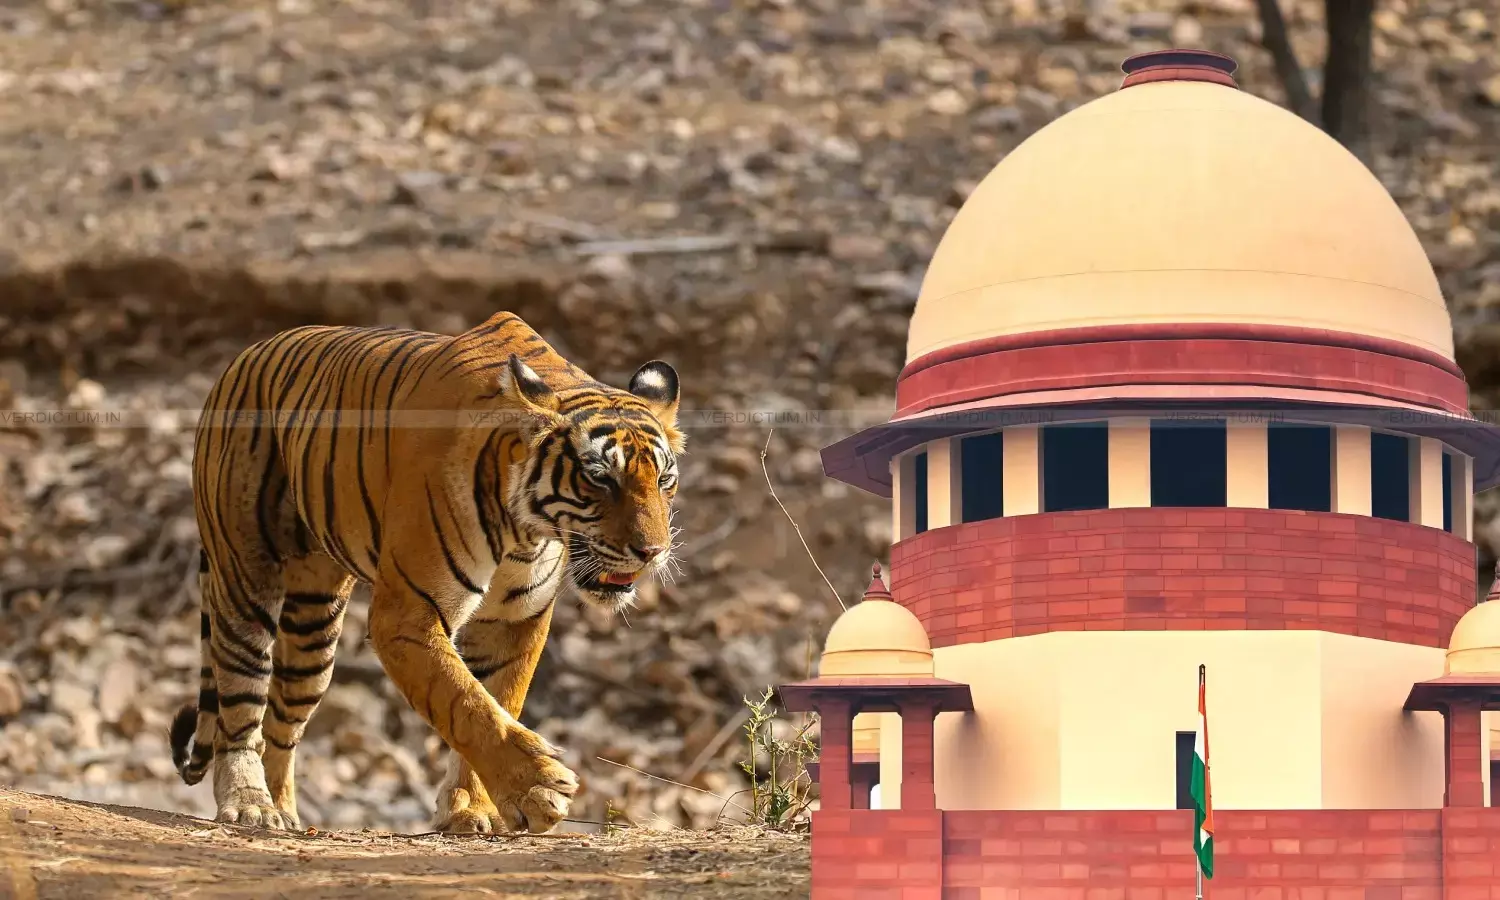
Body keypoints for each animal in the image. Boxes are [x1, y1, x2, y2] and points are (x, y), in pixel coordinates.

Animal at [168, 311, 683, 834]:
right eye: (600, 478)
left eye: (665, 480)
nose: (652, 552)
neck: (525, 531)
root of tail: (244, 357)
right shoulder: (407, 616)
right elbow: (465, 703)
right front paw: (537, 790)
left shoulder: (515, 620)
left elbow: (497, 699)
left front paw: (471, 807)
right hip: (244, 580)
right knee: (239, 702)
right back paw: (250, 804)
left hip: (314, 624)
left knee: (281, 721)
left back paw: (285, 811)